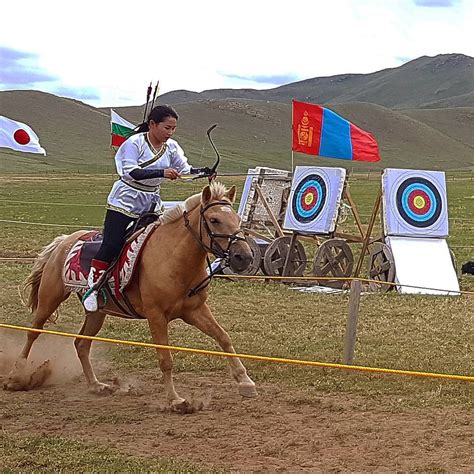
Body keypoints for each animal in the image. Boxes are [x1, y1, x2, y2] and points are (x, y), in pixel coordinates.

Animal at [3, 181, 258, 412]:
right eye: (214, 220)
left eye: (238, 219)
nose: (243, 257)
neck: (172, 257)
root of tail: (63, 241)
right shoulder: (156, 316)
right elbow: (165, 359)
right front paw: (176, 400)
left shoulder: (195, 311)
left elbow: (223, 338)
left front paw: (245, 382)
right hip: (50, 298)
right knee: (33, 332)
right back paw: (17, 375)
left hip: (96, 313)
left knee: (81, 344)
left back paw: (96, 385)